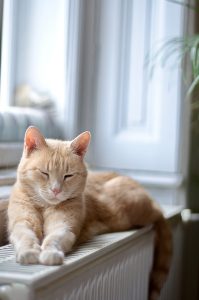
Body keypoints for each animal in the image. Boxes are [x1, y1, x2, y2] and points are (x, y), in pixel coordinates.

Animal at [7, 126, 173, 300]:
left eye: (68, 176)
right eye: (44, 173)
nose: (56, 190)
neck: (45, 206)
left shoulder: (64, 226)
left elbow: (54, 238)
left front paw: (50, 253)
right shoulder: (22, 223)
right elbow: (25, 236)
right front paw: (29, 252)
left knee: (158, 215)